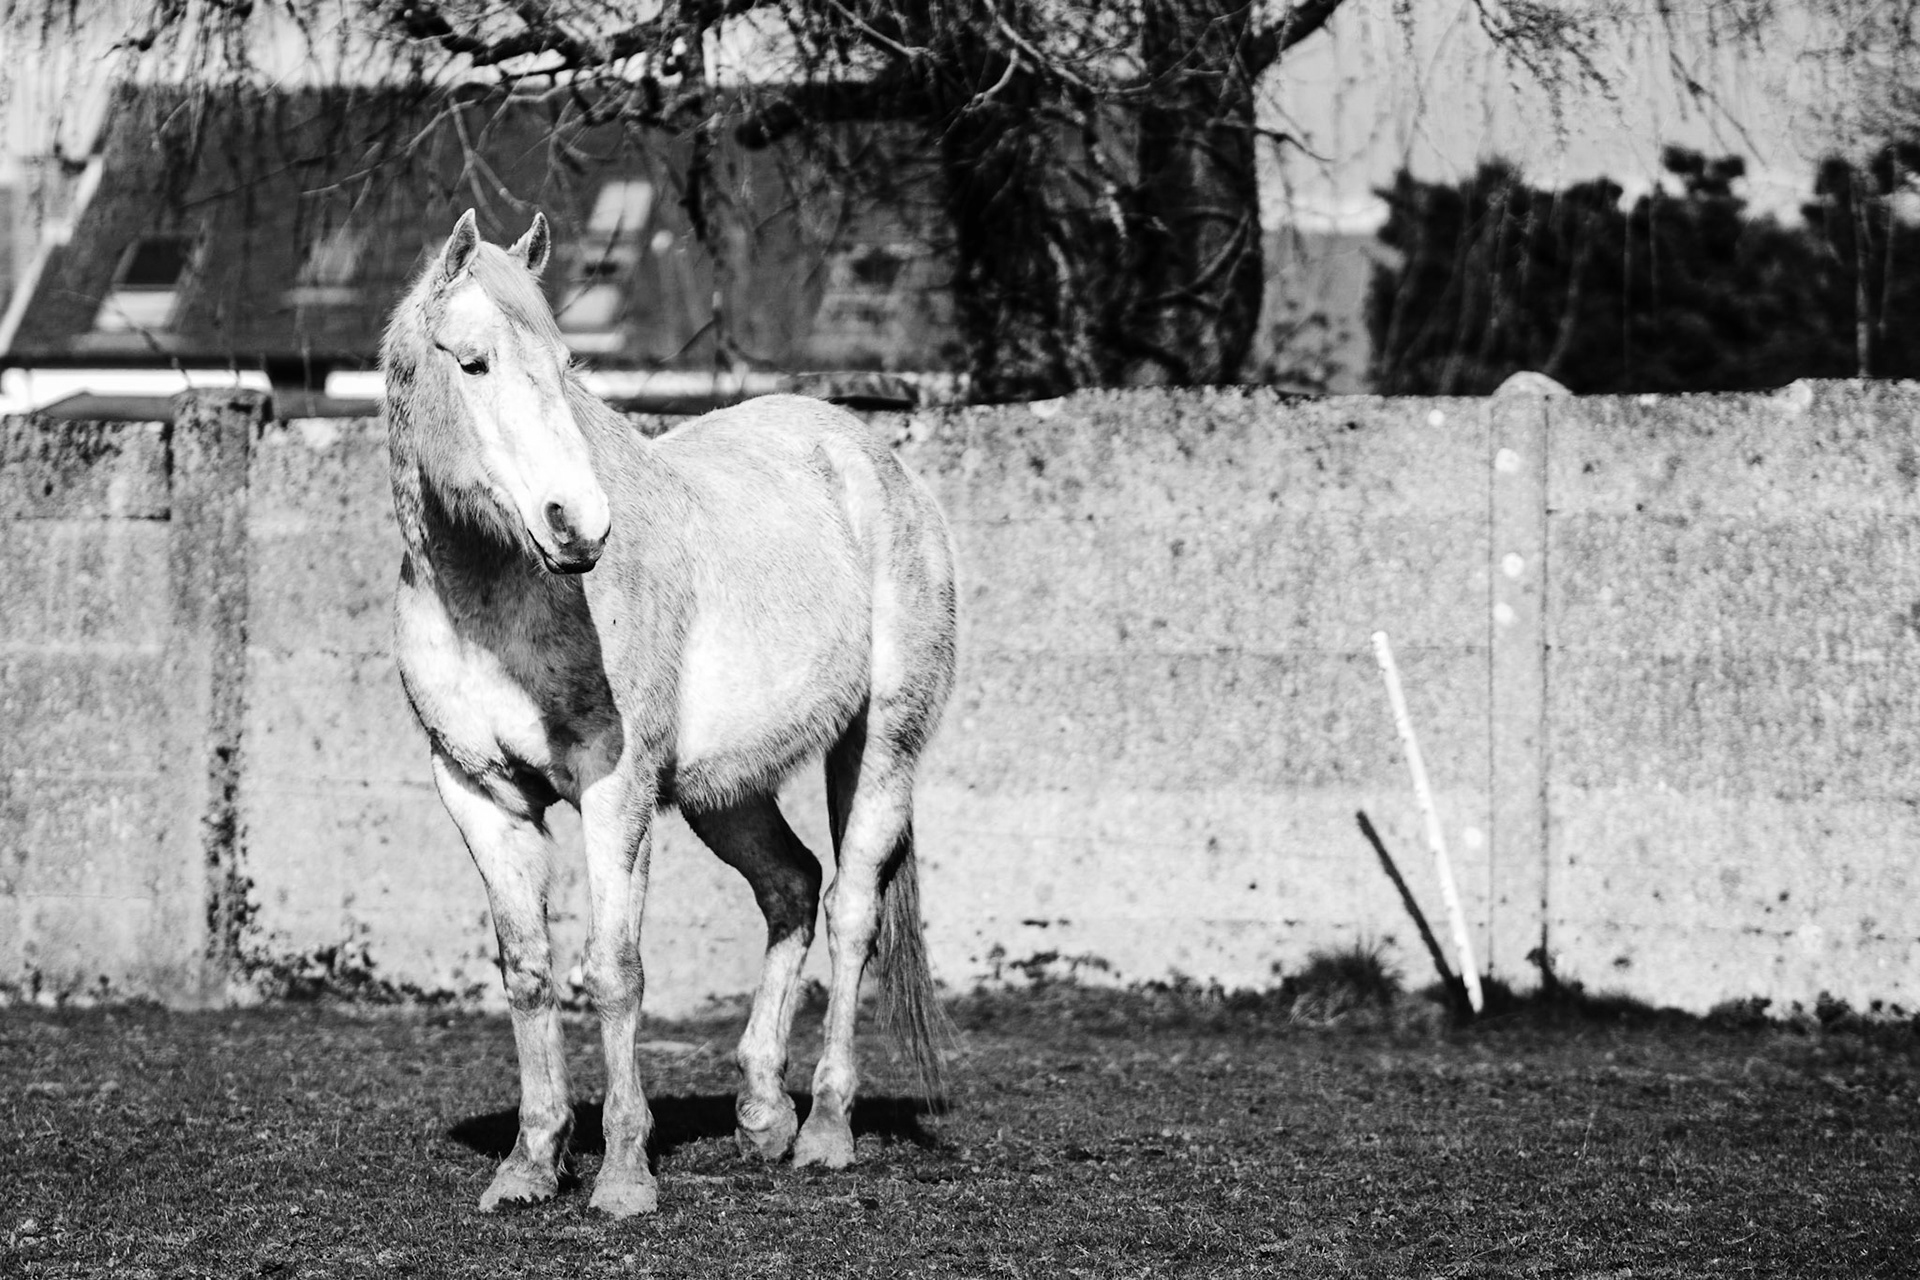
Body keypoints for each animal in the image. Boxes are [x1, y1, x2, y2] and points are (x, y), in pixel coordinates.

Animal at [380, 209, 958, 1217]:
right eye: (474, 363)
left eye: (565, 362)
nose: (578, 525)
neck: (496, 596)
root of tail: (877, 462)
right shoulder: (479, 791)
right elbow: (528, 970)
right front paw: (530, 1165)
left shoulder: (615, 789)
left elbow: (615, 972)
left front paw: (621, 1176)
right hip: (722, 792)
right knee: (792, 887)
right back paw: (762, 1114)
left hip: (879, 748)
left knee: (850, 911)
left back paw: (825, 1131)